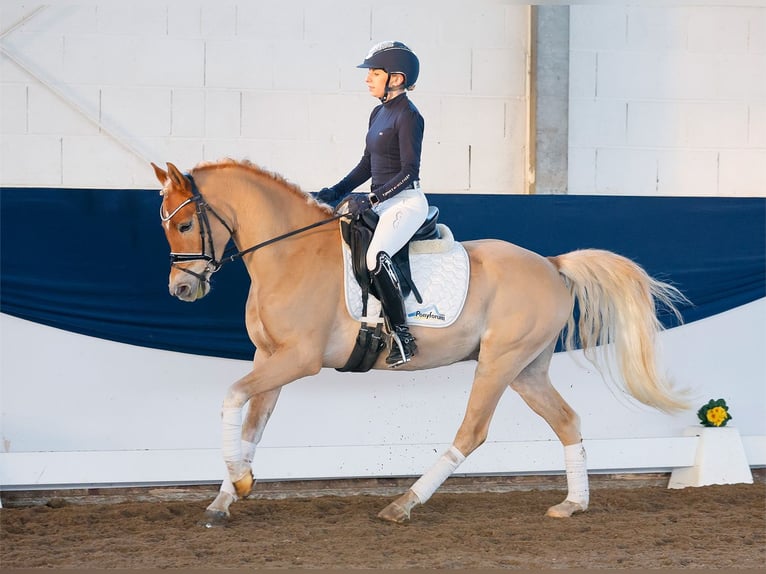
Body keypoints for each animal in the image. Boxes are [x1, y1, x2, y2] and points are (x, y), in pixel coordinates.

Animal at [152, 158, 688, 528]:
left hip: (499, 362)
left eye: (184, 224)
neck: (289, 254)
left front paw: (239, 483)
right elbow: (252, 428)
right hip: (527, 369)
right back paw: (573, 504)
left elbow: (231, 398)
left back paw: (403, 504)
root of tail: (552, 265)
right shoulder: (270, 357)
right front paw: (225, 497)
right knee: (567, 421)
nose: (180, 290)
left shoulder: (298, 360)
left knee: (472, 432)